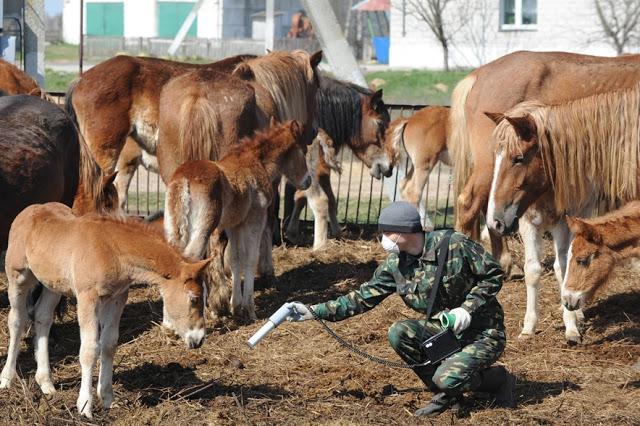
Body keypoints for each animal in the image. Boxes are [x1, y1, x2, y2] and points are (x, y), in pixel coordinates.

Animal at [0, 204, 209, 420]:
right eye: (194, 299)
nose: (199, 339)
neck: (112, 250)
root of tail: (28, 210)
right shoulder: (87, 297)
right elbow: (90, 349)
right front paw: (85, 406)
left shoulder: (117, 298)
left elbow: (109, 344)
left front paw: (108, 398)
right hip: (18, 276)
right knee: (17, 320)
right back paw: (7, 378)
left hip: (53, 284)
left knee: (43, 317)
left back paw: (46, 383)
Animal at [165, 119, 312, 320]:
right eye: (303, 151)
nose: (308, 181)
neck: (257, 164)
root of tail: (184, 179)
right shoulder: (255, 219)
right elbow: (250, 258)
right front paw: (249, 309)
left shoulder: (234, 225)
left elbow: (235, 259)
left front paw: (235, 306)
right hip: (203, 229)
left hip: (175, 228)